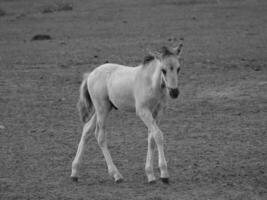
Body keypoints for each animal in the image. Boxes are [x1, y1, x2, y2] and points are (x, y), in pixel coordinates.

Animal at [71, 44, 184, 184]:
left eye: (178, 68)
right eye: (163, 70)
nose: (174, 92)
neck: (151, 83)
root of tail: (91, 74)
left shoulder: (157, 112)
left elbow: (151, 138)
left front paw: (150, 175)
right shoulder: (142, 111)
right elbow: (158, 135)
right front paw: (164, 174)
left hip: (102, 109)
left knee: (87, 130)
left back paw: (74, 172)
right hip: (102, 109)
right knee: (100, 136)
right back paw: (116, 175)